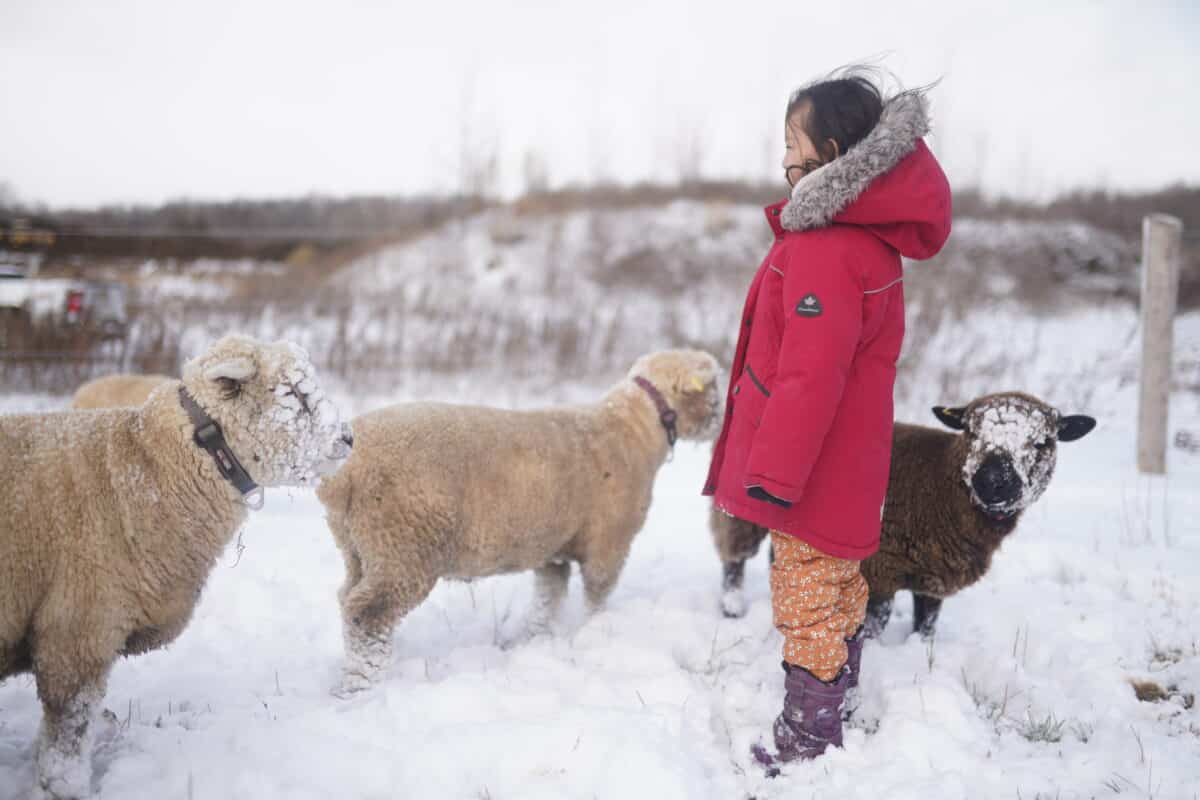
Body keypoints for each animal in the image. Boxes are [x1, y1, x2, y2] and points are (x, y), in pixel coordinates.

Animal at [0, 334, 352, 800]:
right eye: (292, 393)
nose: (349, 437)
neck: (142, 474)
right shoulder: (75, 634)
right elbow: (68, 740)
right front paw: (64, 788)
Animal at [316, 349, 722, 696]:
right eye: (715, 388)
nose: (721, 423)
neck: (636, 428)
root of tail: (344, 475)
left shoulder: (554, 549)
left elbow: (548, 598)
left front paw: (538, 639)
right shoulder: (609, 543)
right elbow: (596, 595)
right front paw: (596, 632)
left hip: (360, 547)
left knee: (346, 598)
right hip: (403, 545)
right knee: (366, 613)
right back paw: (362, 686)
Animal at [711, 392, 1096, 639]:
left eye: (1043, 442)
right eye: (971, 431)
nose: (993, 481)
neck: (942, 485)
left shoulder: (933, 582)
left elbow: (926, 626)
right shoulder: (881, 568)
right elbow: (875, 623)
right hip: (741, 510)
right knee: (735, 557)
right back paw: (732, 606)